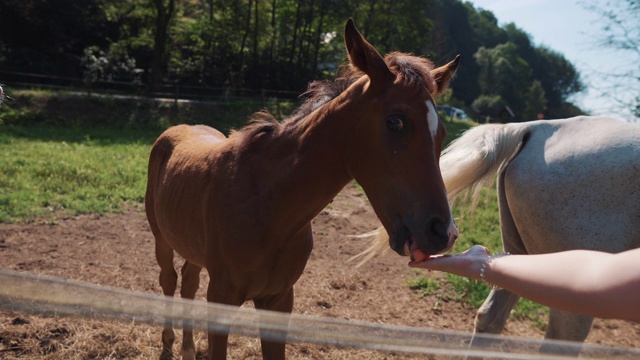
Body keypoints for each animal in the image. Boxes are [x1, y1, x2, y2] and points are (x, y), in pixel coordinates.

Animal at [145, 19, 458, 360]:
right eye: (396, 122)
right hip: (161, 238)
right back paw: (168, 345)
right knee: (169, 279)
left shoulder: (279, 301)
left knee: (188, 281)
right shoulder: (222, 297)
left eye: (442, 133)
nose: (443, 232)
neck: (267, 206)